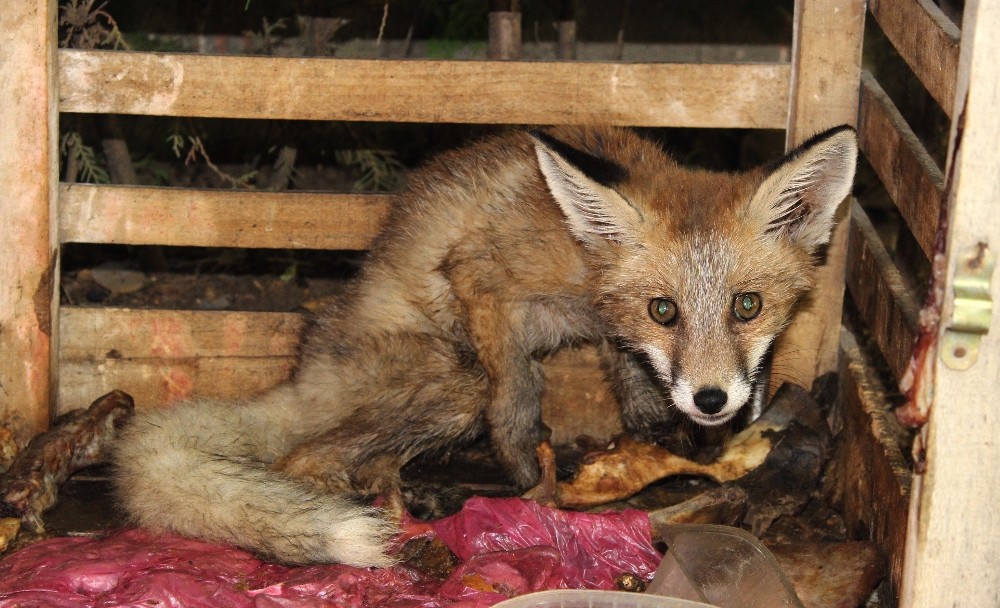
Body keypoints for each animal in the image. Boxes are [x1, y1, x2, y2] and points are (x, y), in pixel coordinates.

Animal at [111, 124, 860, 568]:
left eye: (746, 306)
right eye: (666, 310)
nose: (710, 400)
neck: (579, 254)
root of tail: (304, 366)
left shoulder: (609, 328)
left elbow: (631, 376)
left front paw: (658, 428)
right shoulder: (480, 279)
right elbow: (517, 397)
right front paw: (526, 475)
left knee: (358, 462)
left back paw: (412, 498)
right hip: (452, 382)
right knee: (304, 458)